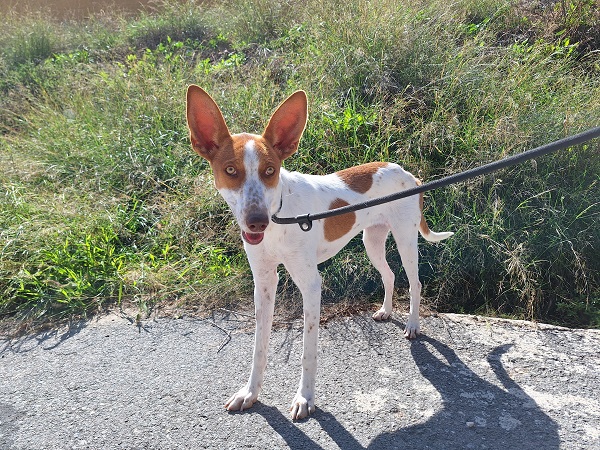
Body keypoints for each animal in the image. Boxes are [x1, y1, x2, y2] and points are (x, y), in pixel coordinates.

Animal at [185, 86, 452, 420]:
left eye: (270, 171)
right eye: (230, 170)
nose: (256, 221)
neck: (280, 217)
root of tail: (409, 174)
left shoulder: (311, 285)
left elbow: (307, 352)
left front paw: (305, 398)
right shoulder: (264, 283)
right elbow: (259, 347)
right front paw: (250, 393)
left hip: (405, 239)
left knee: (414, 282)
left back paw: (413, 325)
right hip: (372, 241)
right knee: (389, 276)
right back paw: (386, 311)